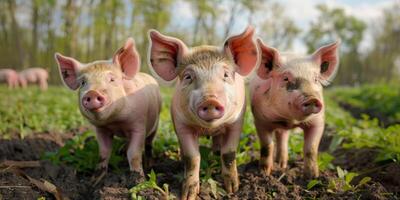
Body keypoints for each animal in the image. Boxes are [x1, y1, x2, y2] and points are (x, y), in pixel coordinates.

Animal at [54, 38, 162, 184]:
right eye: (83, 83)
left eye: (112, 79)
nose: (92, 93)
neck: (115, 122)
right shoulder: (101, 129)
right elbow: (104, 152)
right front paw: (94, 181)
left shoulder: (139, 125)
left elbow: (133, 153)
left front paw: (139, 182)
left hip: (156, 123)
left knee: (149, 143)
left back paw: (149, 164)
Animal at [148, 27, 258, 200]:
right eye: (188, 76)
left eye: (226, 75)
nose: (210, 99)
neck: (209, 128)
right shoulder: (181, 124)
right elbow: (192, 157)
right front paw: (188, 195)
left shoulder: (236, 122)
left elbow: (229, 153)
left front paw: (233, 189)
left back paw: (216, 153)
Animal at [252, 38, 340, 177]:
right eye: (285, 78)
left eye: (315, 79)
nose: (312, 98)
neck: (290, 120)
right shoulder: (260, 120)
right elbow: (267, 146)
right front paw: (265, 173)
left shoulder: (318, 122)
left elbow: (311, 149)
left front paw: (312, 177)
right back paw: (280, 166)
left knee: (283, 137)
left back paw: (282, 165)